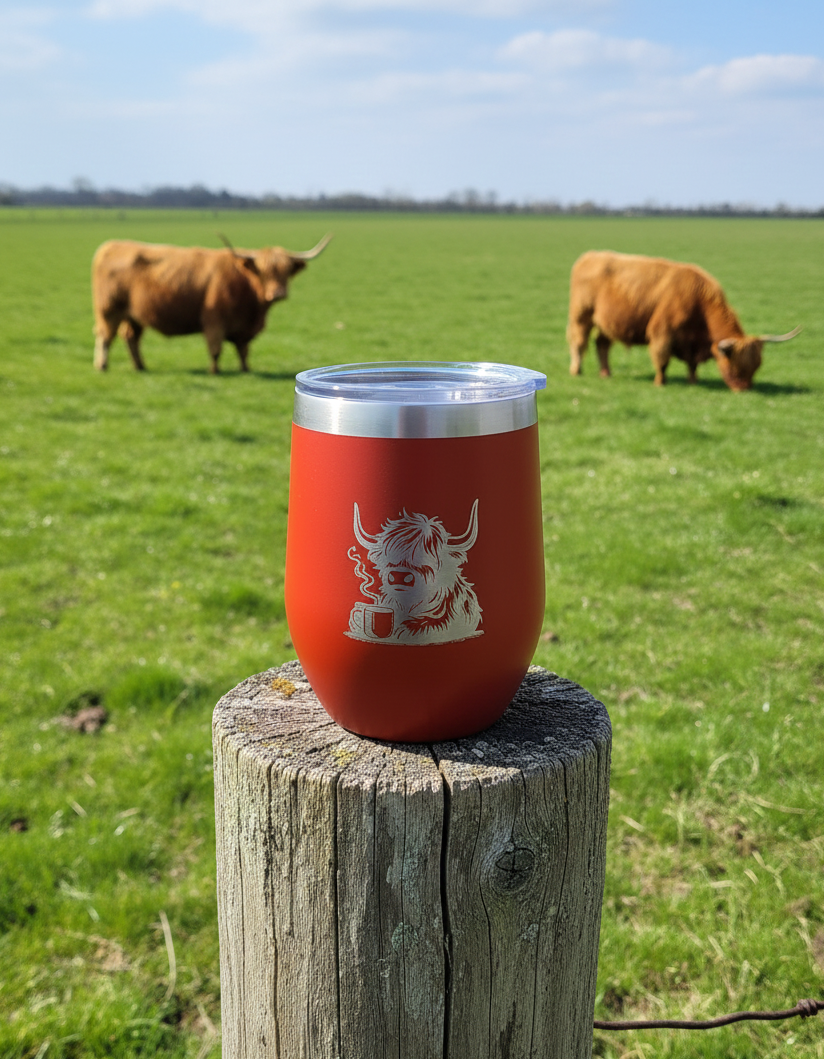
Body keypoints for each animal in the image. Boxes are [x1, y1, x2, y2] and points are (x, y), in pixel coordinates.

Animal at [91, 233, 332, 373]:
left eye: (286, 271)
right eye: (263, 271)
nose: (278, 293)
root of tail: (111, 245)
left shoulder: (244, 329)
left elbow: (243, 351)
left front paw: (246, 369)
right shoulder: (214, 321)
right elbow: (215, 349)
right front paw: (214, 371)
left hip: (135, 315)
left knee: (131, 338)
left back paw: (140, 366)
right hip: (109, 310)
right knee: (105, 337)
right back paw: (102, 365)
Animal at [566, 250, 800, 391]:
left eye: (756, 366)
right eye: (735, 366)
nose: (744, 390)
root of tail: (591, 255)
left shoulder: (692, 343)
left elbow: (692, 364)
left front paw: (693, 380)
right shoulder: (662, 333)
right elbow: (662, 360)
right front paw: (660, 382)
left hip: (608, 323)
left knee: (601, 344)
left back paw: (606, 373)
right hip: (582, 316)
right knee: (579, 343)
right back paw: (576, 371)